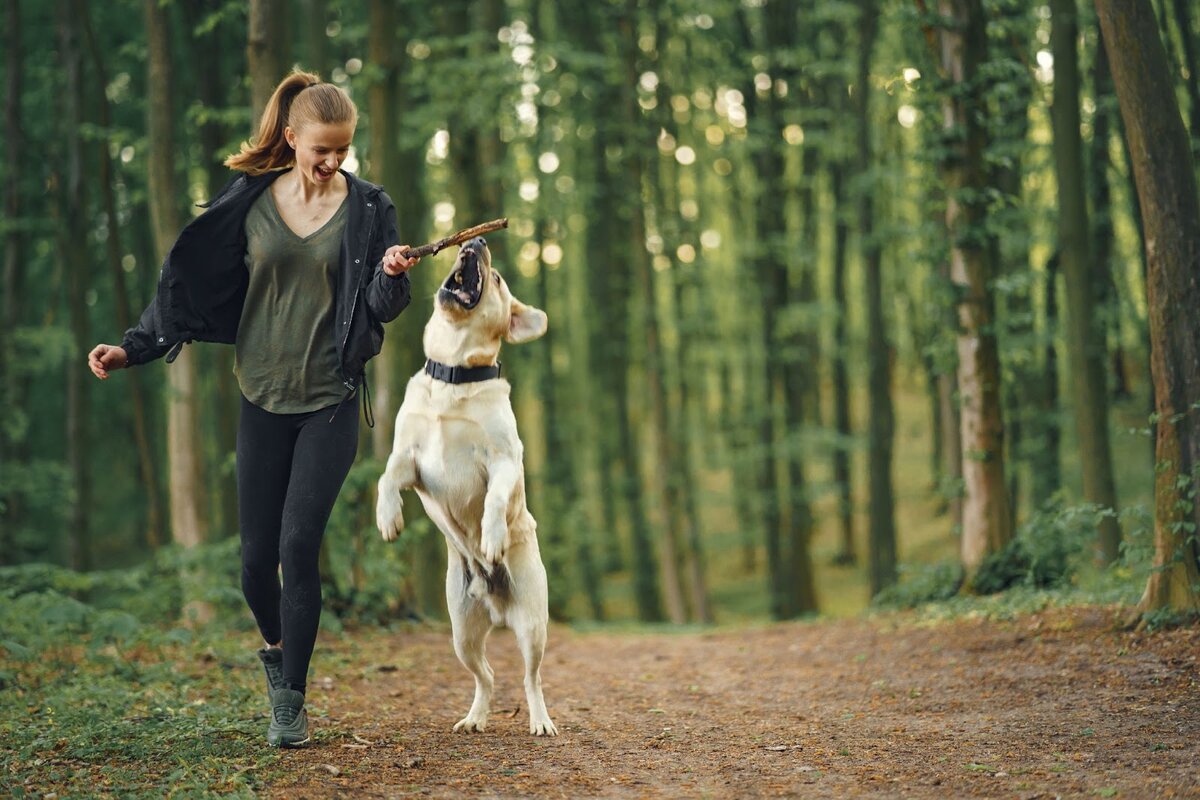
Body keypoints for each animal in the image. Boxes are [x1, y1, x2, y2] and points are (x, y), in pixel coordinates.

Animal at [374, 237, 556, 738]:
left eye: (496, 278)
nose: (476, 240)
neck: (453, 373)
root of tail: (495, 605)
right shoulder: (409, 459)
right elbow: (385, 477)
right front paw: (388, 518)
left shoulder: (504, 460)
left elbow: (494, 499)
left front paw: (492, 537)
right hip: (461, 634)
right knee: (487, 675)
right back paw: (475, 717)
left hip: (533, 626)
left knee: (530, 678)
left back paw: (541, 721)